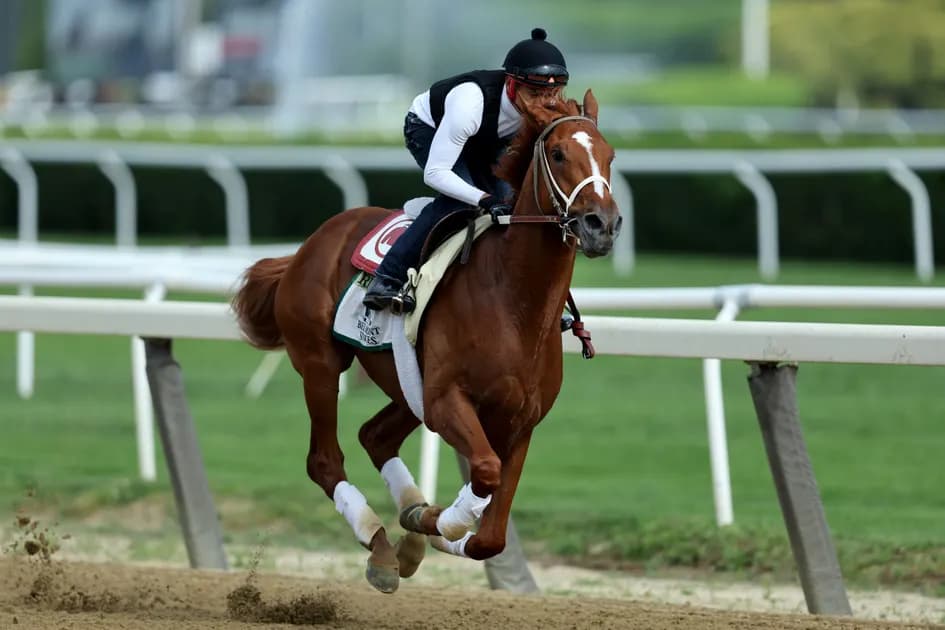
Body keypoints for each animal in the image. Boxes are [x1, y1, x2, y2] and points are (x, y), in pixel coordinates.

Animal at [231, 89, 621, 593]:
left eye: (610, 155)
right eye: (557, 154)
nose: (601, 224)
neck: (514, 304)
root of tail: (308, 245)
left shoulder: (521, 422)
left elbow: (490, 536)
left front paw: (429, 523)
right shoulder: (446, 401)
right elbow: (485, 472)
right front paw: (438, 521)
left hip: (405, 383)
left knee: (374, 436)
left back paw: (405, 536)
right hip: (320, 364)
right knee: (324, 460)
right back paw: (381, 547)